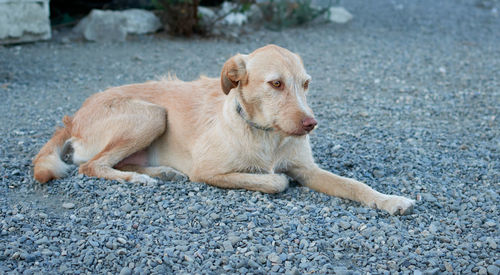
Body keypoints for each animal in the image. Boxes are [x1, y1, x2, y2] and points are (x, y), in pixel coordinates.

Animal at [34, 44, 414, 216]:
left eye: (305, 84)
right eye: (275, 84)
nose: (310, 125)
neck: (267, 134)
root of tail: (72, 117)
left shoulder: (308, 169)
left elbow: (354, 185)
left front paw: (389, 200)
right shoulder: (207, 171)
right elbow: (274, 181)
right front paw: (274, 179)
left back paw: (160, 171)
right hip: (153, 115)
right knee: (91, 166)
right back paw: (138, 179)